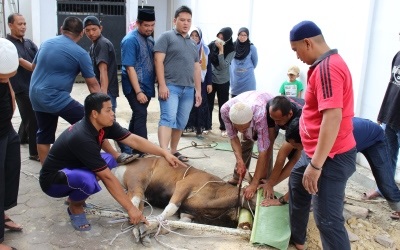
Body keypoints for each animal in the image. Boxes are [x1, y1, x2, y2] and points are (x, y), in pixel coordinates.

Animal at [111, 157, 256, 229]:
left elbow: (180, 223)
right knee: (135, 199)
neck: (216, 193)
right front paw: (152, 222)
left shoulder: (188, 214)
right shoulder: (184, 185)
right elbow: (170, 209)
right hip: (137, 181)